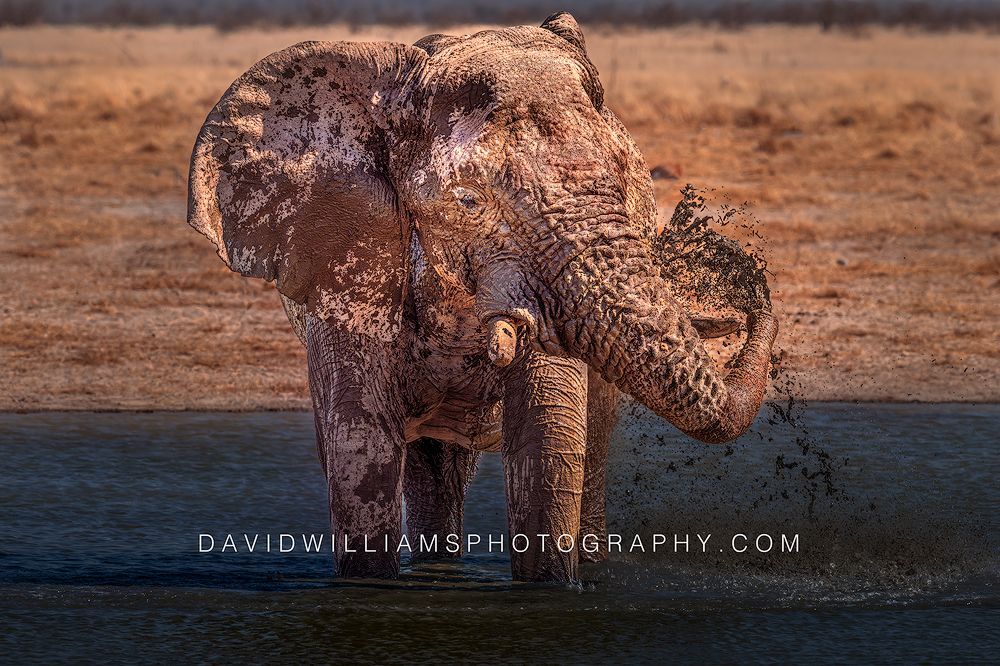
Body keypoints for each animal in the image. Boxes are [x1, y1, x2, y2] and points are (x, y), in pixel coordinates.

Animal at [186, 12, 778, 582]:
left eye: (626, 184)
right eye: (469, 202)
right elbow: (360, 446)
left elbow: (547, 443)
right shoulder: (347, 272)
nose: (745, 276)